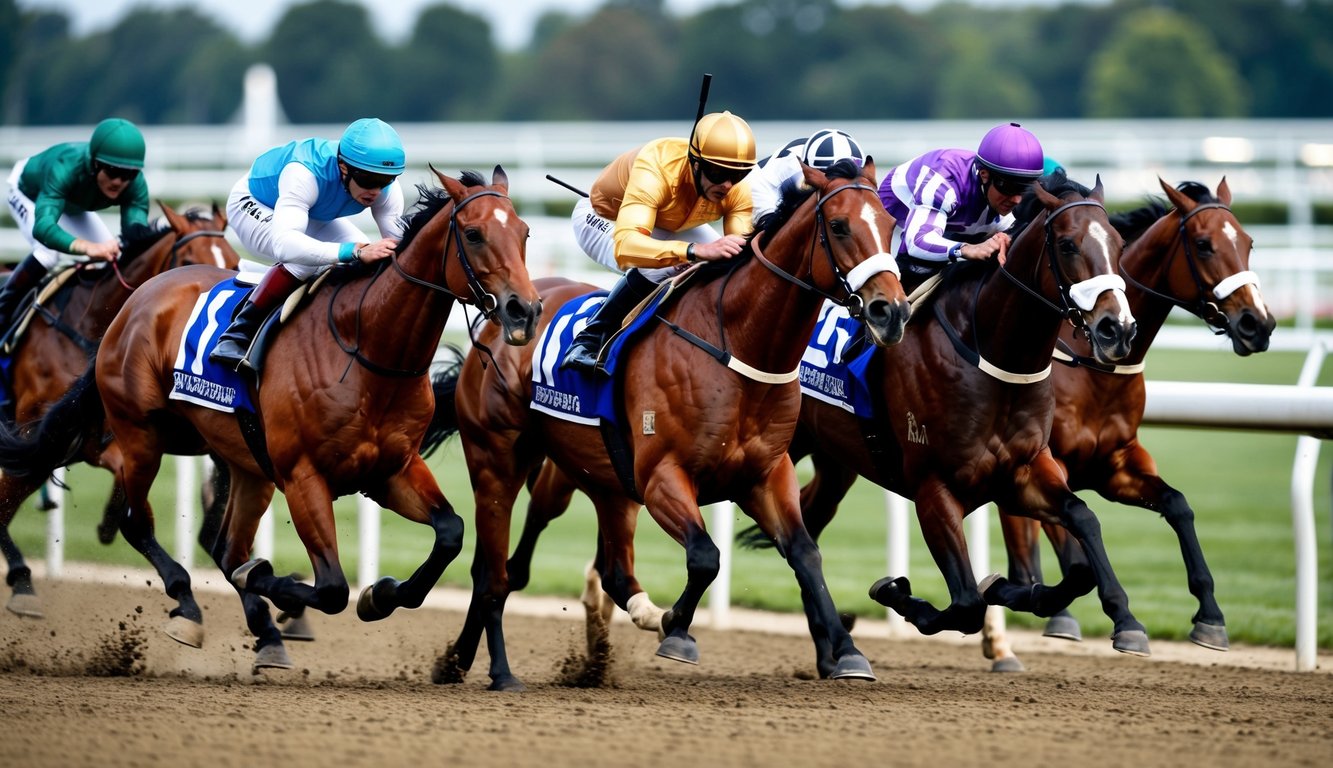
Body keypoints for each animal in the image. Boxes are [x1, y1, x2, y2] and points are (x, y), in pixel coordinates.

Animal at [431, 160, 911, 688]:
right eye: (841, 226)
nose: (892, 311)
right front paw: (676, 628)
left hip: (604, 477)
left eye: (890, 223)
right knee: (494, 567)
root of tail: (501, 320)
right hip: (499, 457)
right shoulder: (663, 474)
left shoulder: (765, 473)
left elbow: (805, 553)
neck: (737, 344)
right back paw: (471, 660)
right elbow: (705, 557)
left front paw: (846, 652)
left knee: (609, 570)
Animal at [751, 170, 1146, 664]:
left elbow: (1080, 536)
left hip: (830, 461)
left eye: (1117, 241)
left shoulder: (1022, 470)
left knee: (805, 526)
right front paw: (897, 592)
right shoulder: (933, 487)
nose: (1119, 329)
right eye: (1069, 244)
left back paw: (830, 649)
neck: (991, 355)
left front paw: (1122, 619)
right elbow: (966, 603)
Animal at [997, 173, 1274, 661]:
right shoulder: (1048, 462)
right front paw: (1118, 617)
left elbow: (1177, 505)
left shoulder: (1116, 464)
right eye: (1203, 245)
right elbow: (1073, 541)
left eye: (1248, 242)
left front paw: (1210, 616)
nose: (1257, 324)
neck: (1091, 364)